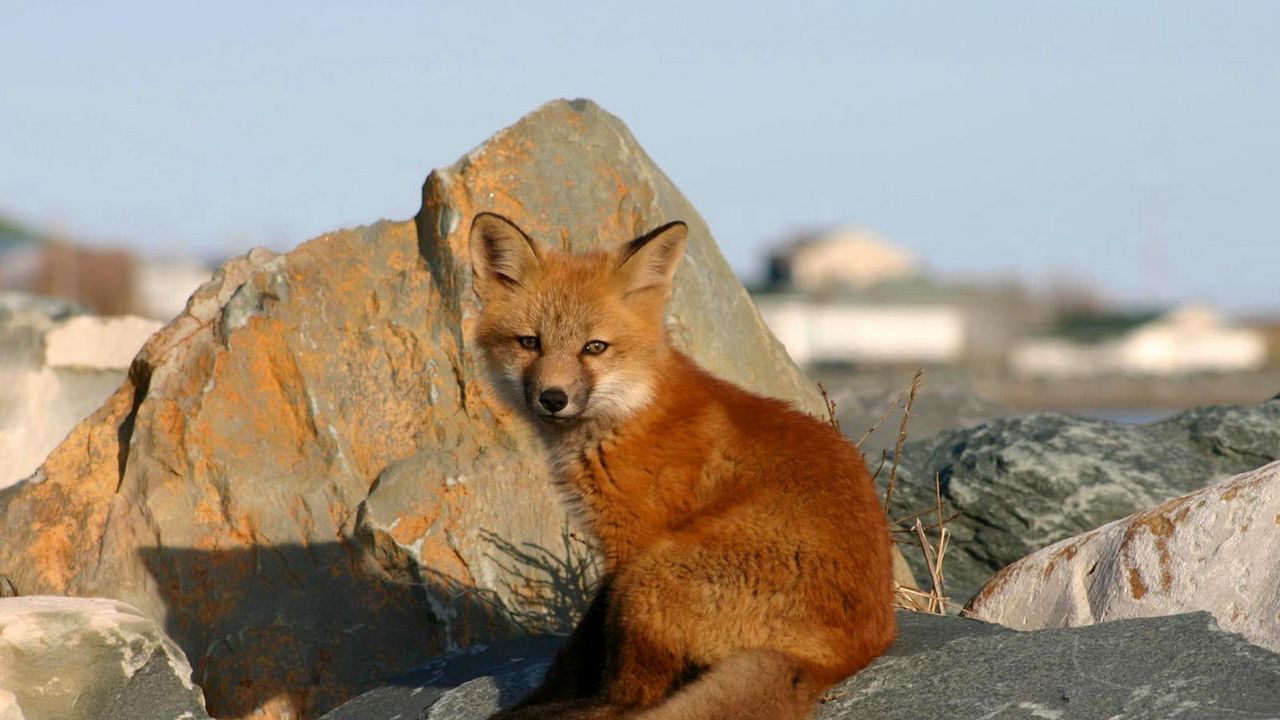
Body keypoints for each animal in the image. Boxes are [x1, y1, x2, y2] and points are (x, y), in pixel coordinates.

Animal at [465, 212, 896, 717]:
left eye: (594, 347)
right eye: (529, 343)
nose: (553, 398)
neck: (631, 411)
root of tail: (838, 659)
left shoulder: (628, 546)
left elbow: (581, 648)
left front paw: (535, 701)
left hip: (649, 578)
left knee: (632, 699)